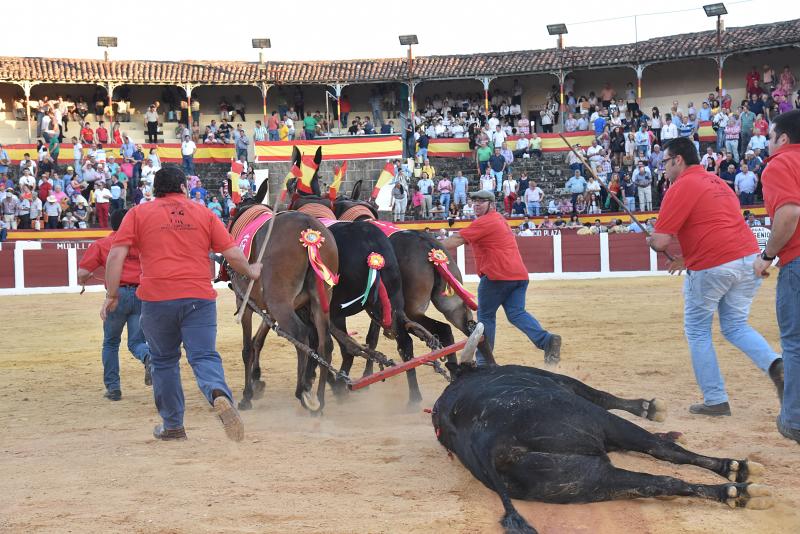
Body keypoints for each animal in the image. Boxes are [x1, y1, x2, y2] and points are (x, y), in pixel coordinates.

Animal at [432, 324, 776, 532]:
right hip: (599, 424)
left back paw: (735, 490)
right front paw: (650, 409)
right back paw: (738, 478)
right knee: (663, 455)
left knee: (658, 482)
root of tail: (486, 443)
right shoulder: (578, 394)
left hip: (586, 481)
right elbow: (608, 398)